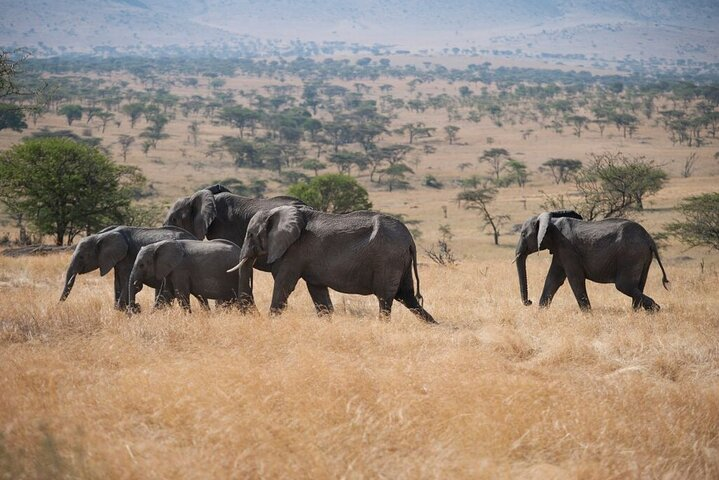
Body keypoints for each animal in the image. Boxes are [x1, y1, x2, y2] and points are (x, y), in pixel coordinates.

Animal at [58, 226, 200, 312]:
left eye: (81, 257)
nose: (58, 305)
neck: (101, 235)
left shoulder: (128, 256)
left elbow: (126, 281)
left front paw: (124, 310)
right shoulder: (117, 259)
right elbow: (118, 282)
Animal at [229, 204, 438, 324]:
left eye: (250, 235)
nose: (254, 315)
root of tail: (410, 240)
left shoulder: (294, 251)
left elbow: (284, 284)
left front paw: (271, 322)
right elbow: (317, 290)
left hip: (388, 259)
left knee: (386, 298)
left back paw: (383, 327)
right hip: (400, 261)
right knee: (407, 296)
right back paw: (434, 326)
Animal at [516, 210, 672, 312]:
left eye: (523, 234)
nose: (529, 302)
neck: (551, 222)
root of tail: (649, 238)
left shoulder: (567, 248)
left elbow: (575, 279)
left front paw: (587, 314)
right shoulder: (560, 250)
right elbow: (553, 279)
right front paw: (541, 311)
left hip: (631, 254)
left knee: (624, 285)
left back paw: (655, 309)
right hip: (642, 256)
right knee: (638, 285)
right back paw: (638, 312)